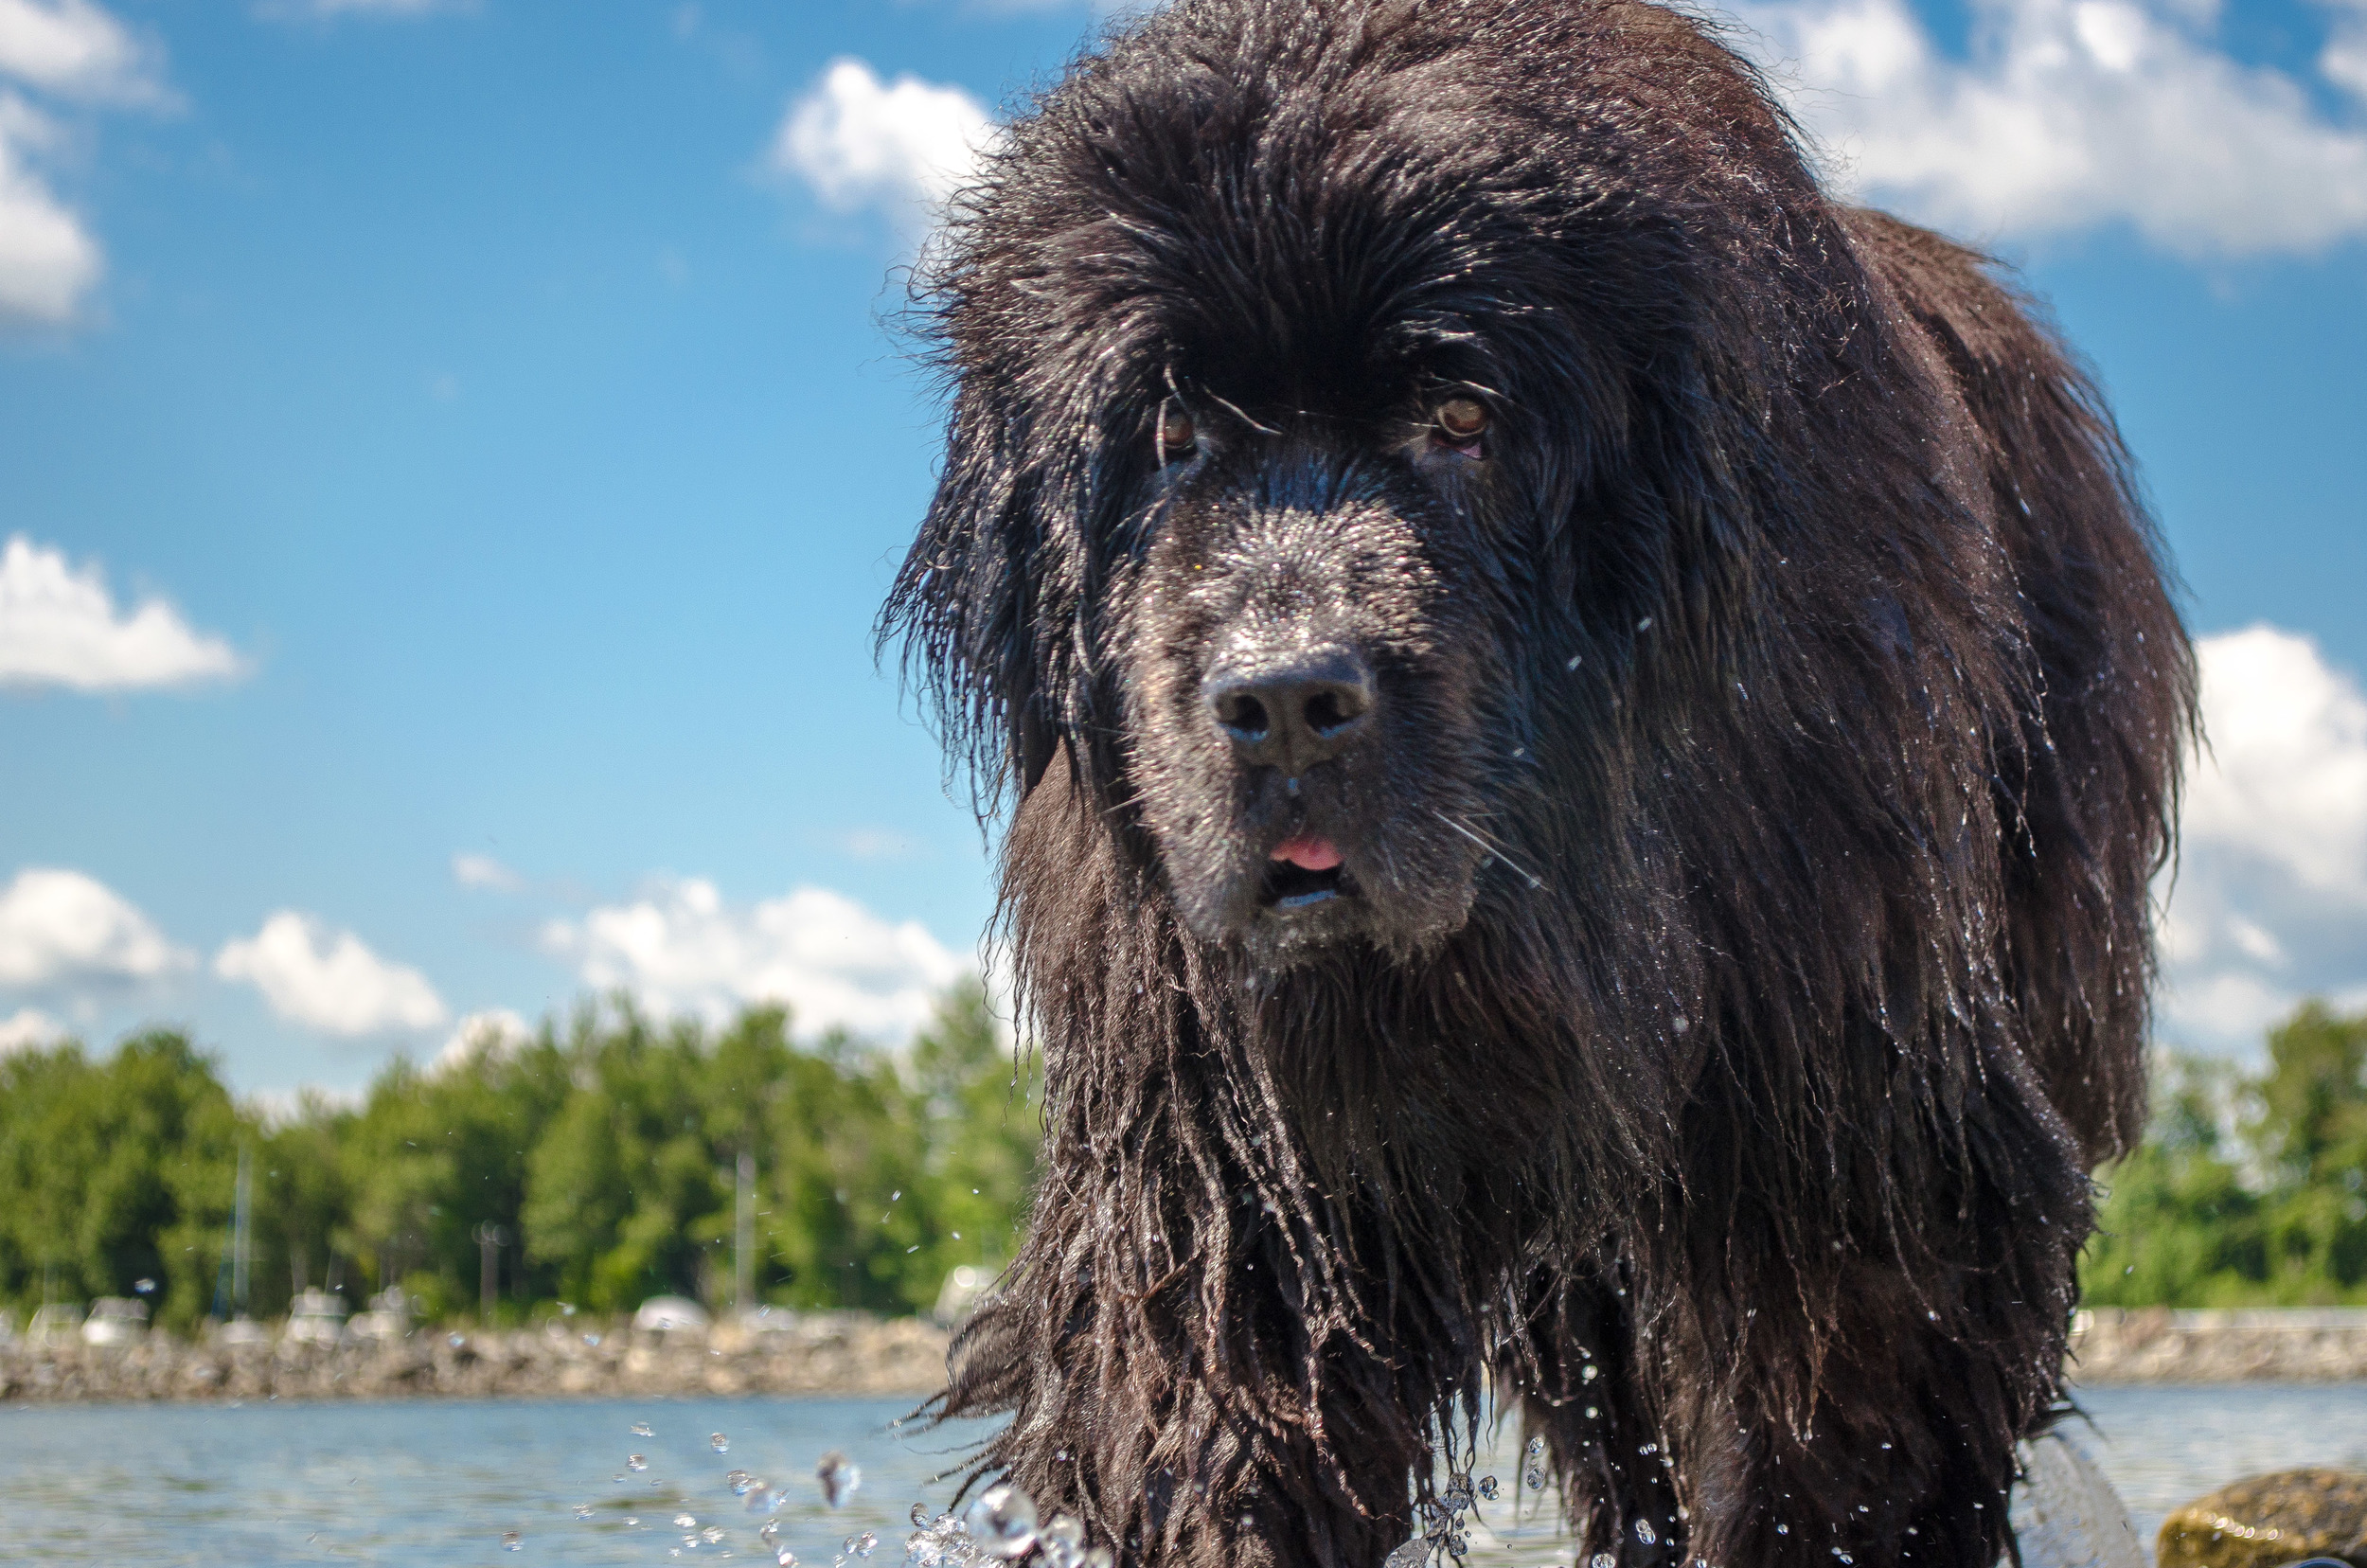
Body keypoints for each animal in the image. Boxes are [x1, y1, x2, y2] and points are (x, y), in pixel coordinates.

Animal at [881, 3, 2187, 1568]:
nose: (1283, 701)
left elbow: (1840, 1428)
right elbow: (1221, 1410)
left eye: (1459, 416)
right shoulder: (1214, 1152)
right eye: (1169, 435)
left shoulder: (1845, 1104)